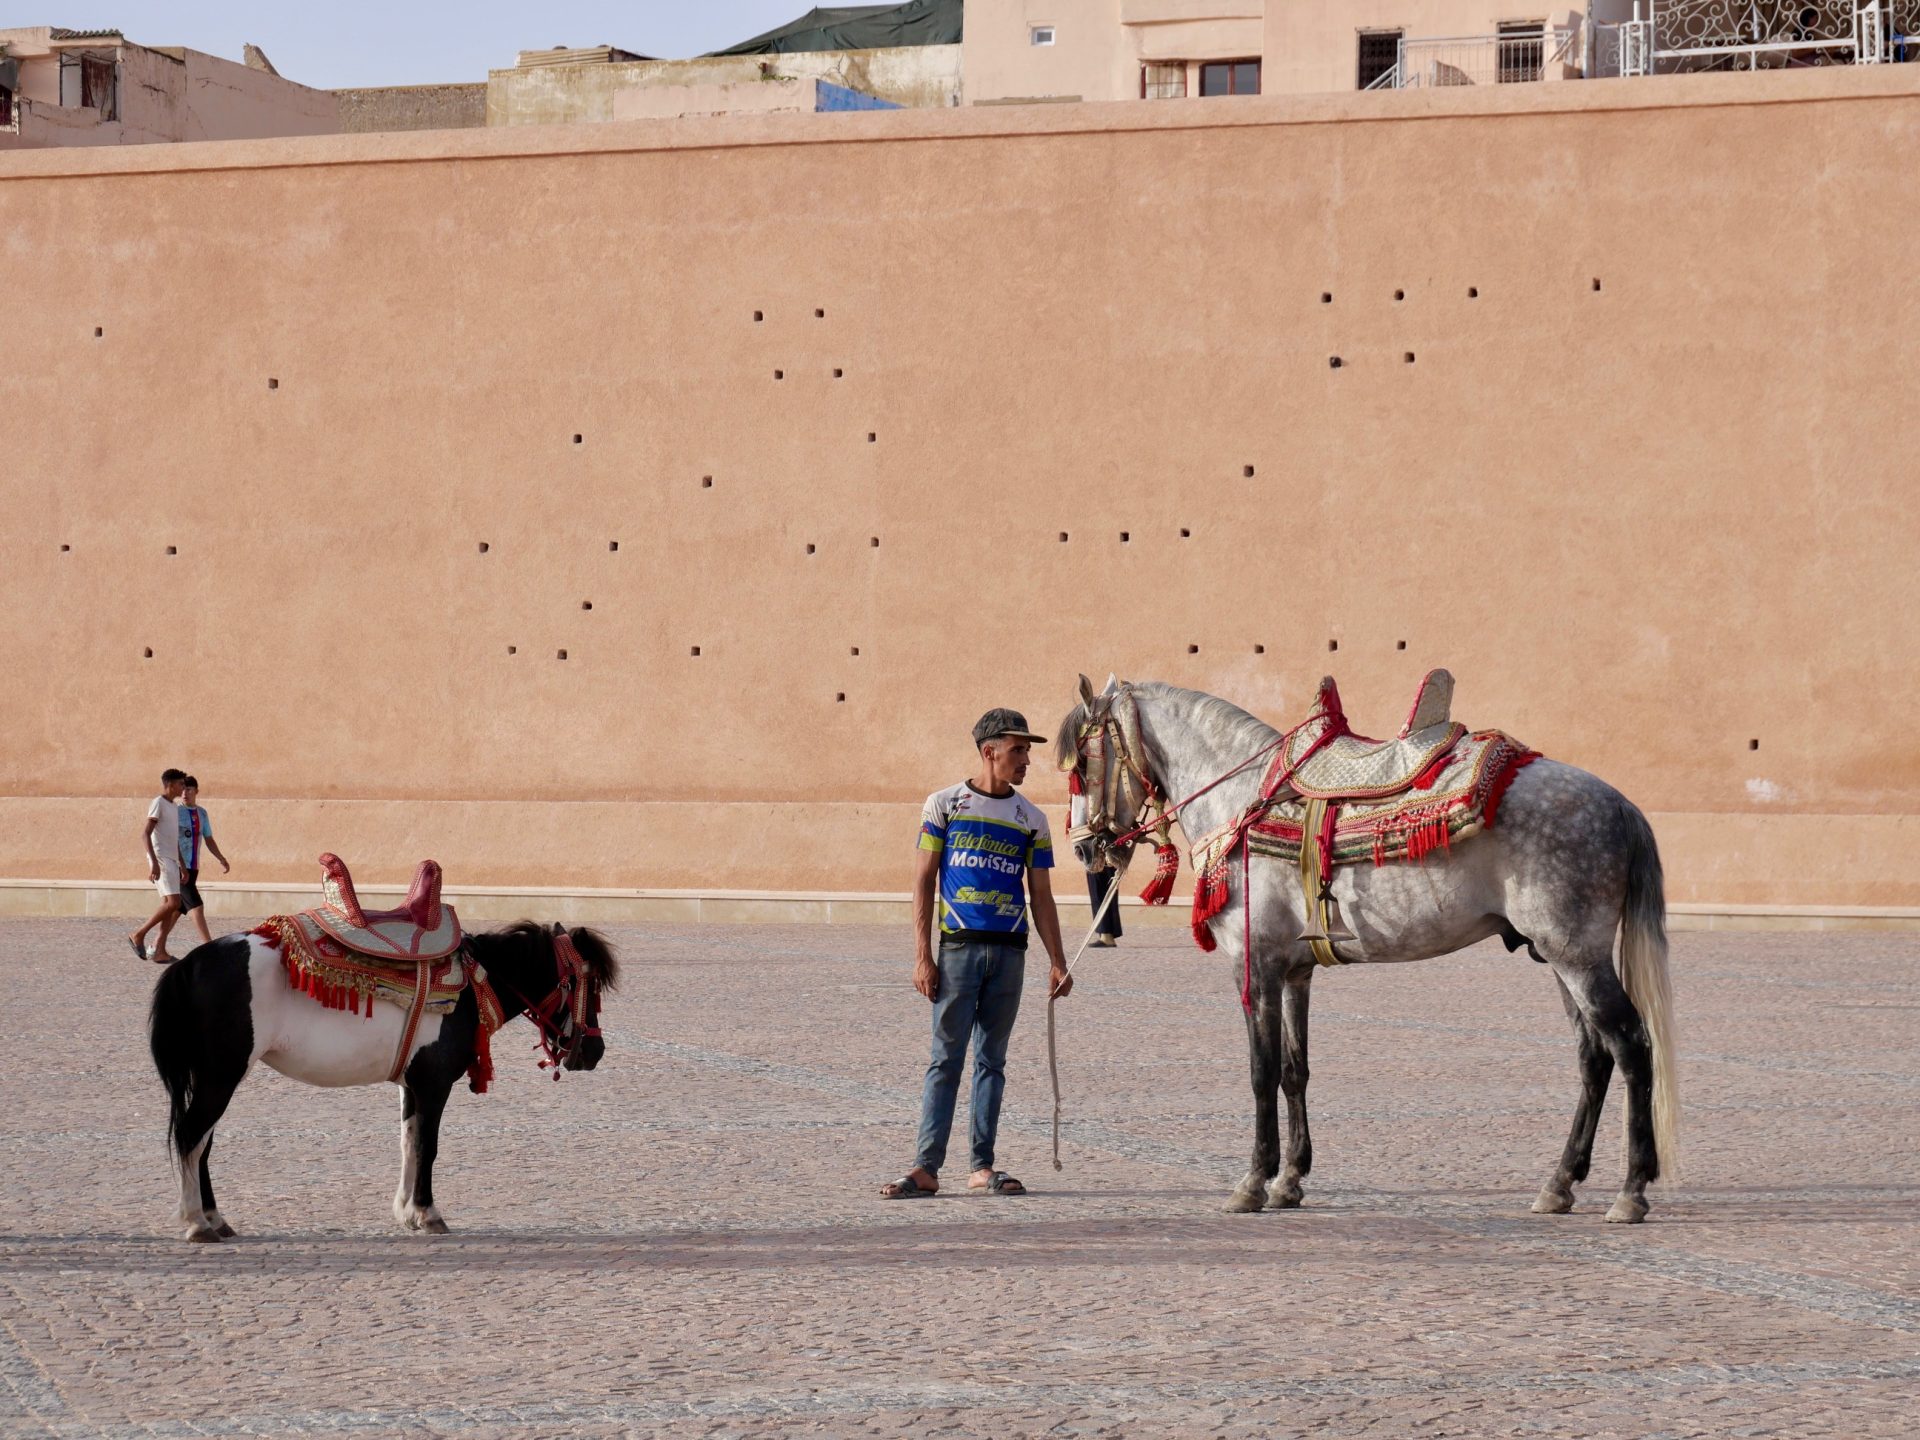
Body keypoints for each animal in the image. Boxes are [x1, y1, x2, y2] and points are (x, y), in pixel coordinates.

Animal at [149, 925, 614, 1244]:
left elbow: (409, 1143)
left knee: (201, 1143)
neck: (469, 986)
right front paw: (427, 1213)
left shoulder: (411, 1085)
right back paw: (196, 1222)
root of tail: (190, 962)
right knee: (192, 1136)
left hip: (213, 1077)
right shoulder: (434, 1084)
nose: (594, 1051)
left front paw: (406, 1212)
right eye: (586, 983)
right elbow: (429, 1146)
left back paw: (215, 1218)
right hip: (221, 1076)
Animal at [1059, 683, 1674, 1221]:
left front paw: (1253, 1181)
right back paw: (1560, 1182)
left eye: (1084, 762)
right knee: (1593, 1058)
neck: (1243, 800)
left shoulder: (1255, 966)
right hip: (1559, 958)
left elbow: (1261, 1071)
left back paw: (1631, 1191)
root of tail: (1618, 803)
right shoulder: (1295, 972)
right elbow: (1294, 1070)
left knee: (1631, 1046)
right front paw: (1290, 1180)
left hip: (1577, 956)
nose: (1086, 848)